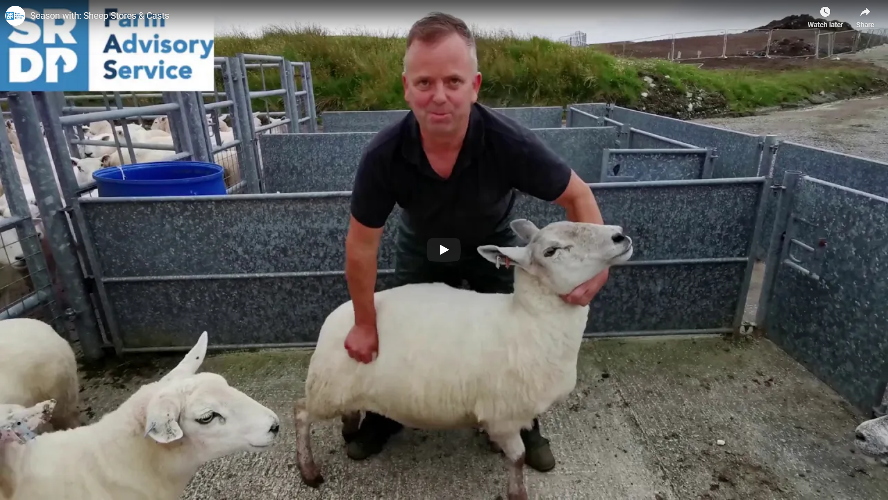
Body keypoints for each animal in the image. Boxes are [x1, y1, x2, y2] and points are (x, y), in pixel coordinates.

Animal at [294, 219, 636, 500]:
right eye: (551, 251)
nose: (620, 236)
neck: (525, 321)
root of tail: (336, 317)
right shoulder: (503, 414)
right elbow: (517, 458)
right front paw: (517, 493)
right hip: (327, 388)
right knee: (300, 414)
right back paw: (309, 471)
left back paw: (350, 429)